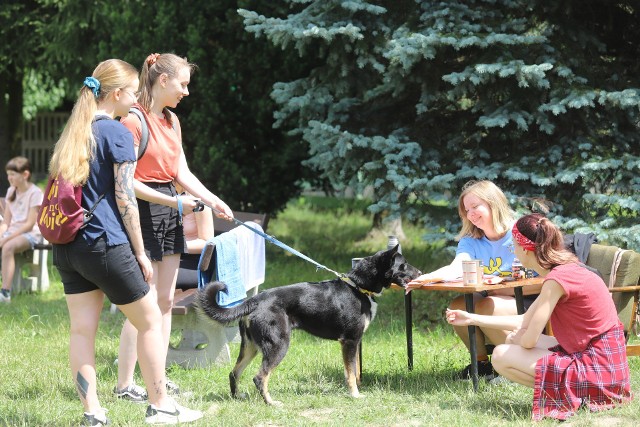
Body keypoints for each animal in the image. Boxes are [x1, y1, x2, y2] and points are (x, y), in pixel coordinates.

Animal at [198, 246, 422, 406]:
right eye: (404, 264)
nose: (420, 272)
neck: (358, 287)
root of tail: (255, 300)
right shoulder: (350, 341)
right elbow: (351, 373)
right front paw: (355, 396)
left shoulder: (353, 342)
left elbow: (352, 371)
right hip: (278, 345)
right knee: (259, 377)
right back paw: (271, 403)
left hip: (250, 347)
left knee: (234, 373)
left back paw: (237, 398)